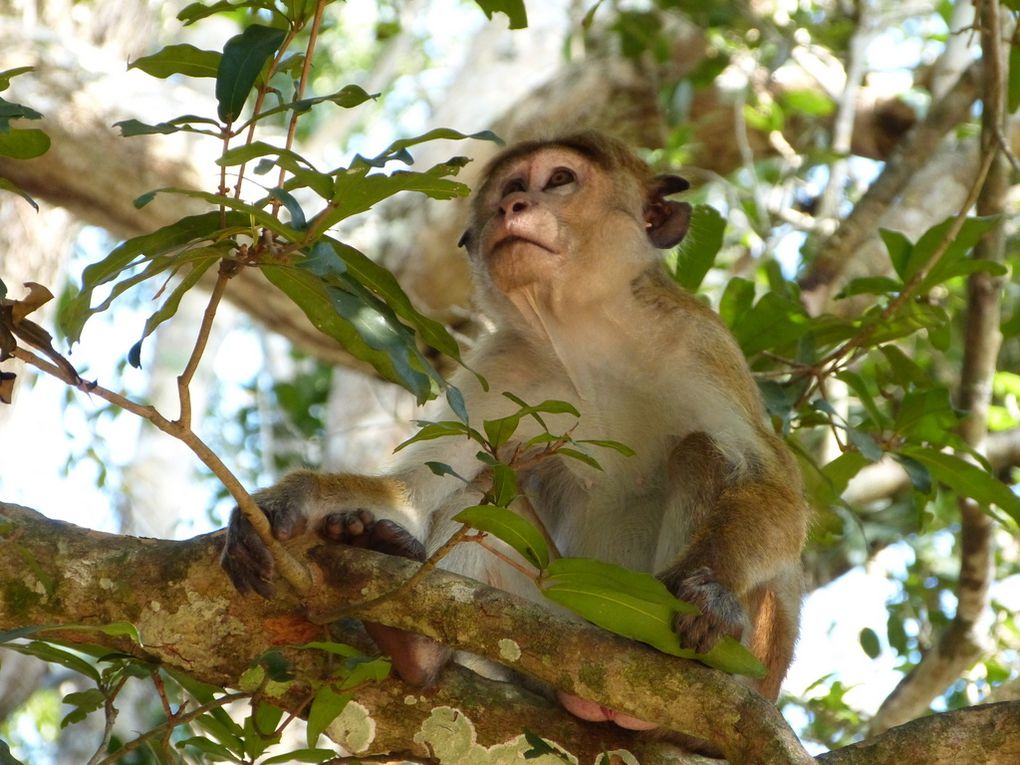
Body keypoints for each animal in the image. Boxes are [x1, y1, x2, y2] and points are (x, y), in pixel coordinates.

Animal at [219, 130, 807, 730]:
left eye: (559, 179)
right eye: (510, 187)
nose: (513, 207)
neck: (583, 334)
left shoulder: (698, 341)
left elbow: (772, 484)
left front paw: (710, 590)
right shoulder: (503, 364)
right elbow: (418, 486)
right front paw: (294, 499)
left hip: (747, 659)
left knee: (702, 452)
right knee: (483, 492)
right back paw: (414, 644)